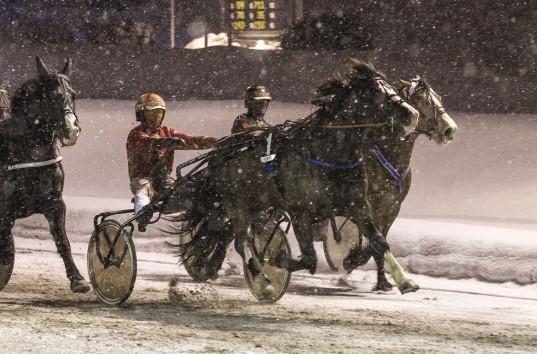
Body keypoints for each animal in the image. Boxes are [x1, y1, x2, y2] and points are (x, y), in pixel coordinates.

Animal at [0, 56, 89, 292]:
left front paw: (78, 279)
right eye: (52, 96)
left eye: (73, 94)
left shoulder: (55, 203)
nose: (72, 130)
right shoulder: (4, 209)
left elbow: (62, 241)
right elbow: (6, 246)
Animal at [176, 59, 418, 294]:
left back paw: (215, 267)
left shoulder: (357, 205)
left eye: (393, 87)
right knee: (239, 241)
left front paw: (404, 281)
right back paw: (260, 278)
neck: (328, 153)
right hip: (237, 205)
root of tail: (219, 154)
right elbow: (309, 259)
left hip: (254, 204)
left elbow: (379, 241)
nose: (412, 115)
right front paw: (274, 260)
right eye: (374, 91)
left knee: (226, 235)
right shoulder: (301, 211)